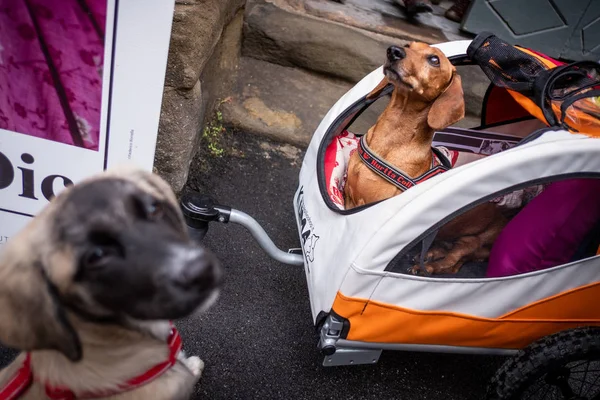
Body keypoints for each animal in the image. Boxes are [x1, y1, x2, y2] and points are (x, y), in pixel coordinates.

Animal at [342, 43, 506, 276]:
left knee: (452, 262)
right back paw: (430, 254)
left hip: (471, 242)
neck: (390, 139)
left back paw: (427, 266)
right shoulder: (348, 199)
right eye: (408, 45)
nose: (393, 51)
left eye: (434, 60)